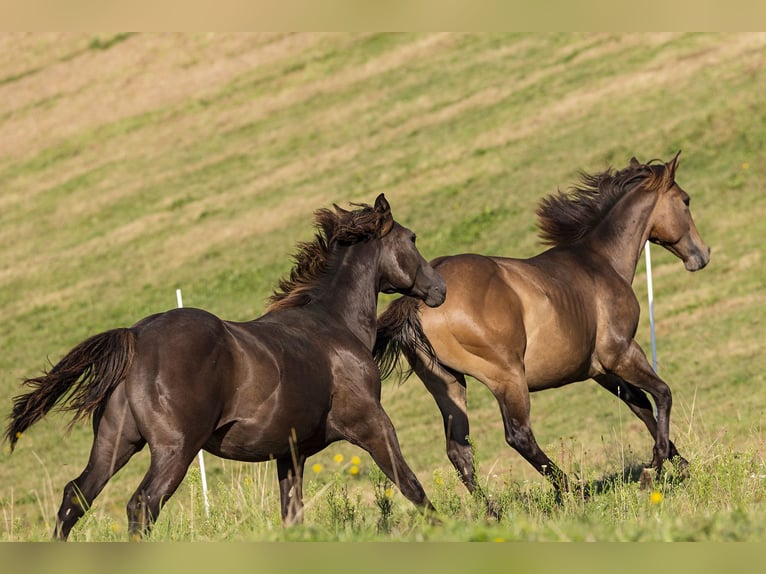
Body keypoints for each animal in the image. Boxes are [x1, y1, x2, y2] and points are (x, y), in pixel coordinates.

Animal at [6, 196, 448, 544]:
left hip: (116, 442)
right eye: (412, 239)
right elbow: (410, 484)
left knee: (75, 497)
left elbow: (292, 513)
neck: (333, 326)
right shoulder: (372, 423)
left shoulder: (290, 453)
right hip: (175, 450)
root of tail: (137, 336)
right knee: (142, 505)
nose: (439, 289)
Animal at [378, 155, 712, 502]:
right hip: (507, 377)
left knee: (459, 450)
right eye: (686, 200)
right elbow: (662, 394)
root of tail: (419, 300)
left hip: (447, 383)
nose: (702, 254)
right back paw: (575, 491)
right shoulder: (622, 353)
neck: (601, 263)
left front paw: (679, 463)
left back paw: (491, 509)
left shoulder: (600, 370)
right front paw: (655, 466)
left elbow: (641, 405)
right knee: (519, 436)